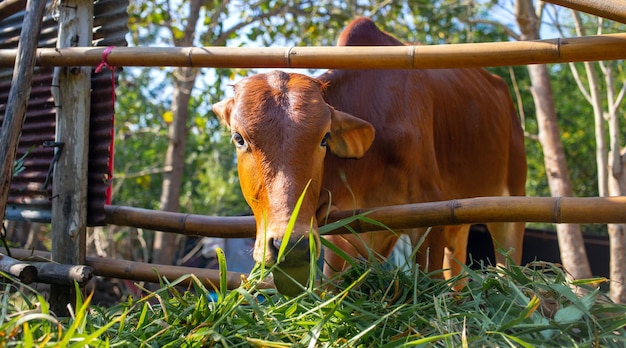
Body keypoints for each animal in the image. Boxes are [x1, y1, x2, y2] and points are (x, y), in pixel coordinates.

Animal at [212, 17, 524, 294]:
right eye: (239, 138)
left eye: (324, 138)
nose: (292, 245)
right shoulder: (342, 233)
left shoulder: (431, 215)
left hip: (510, 204)